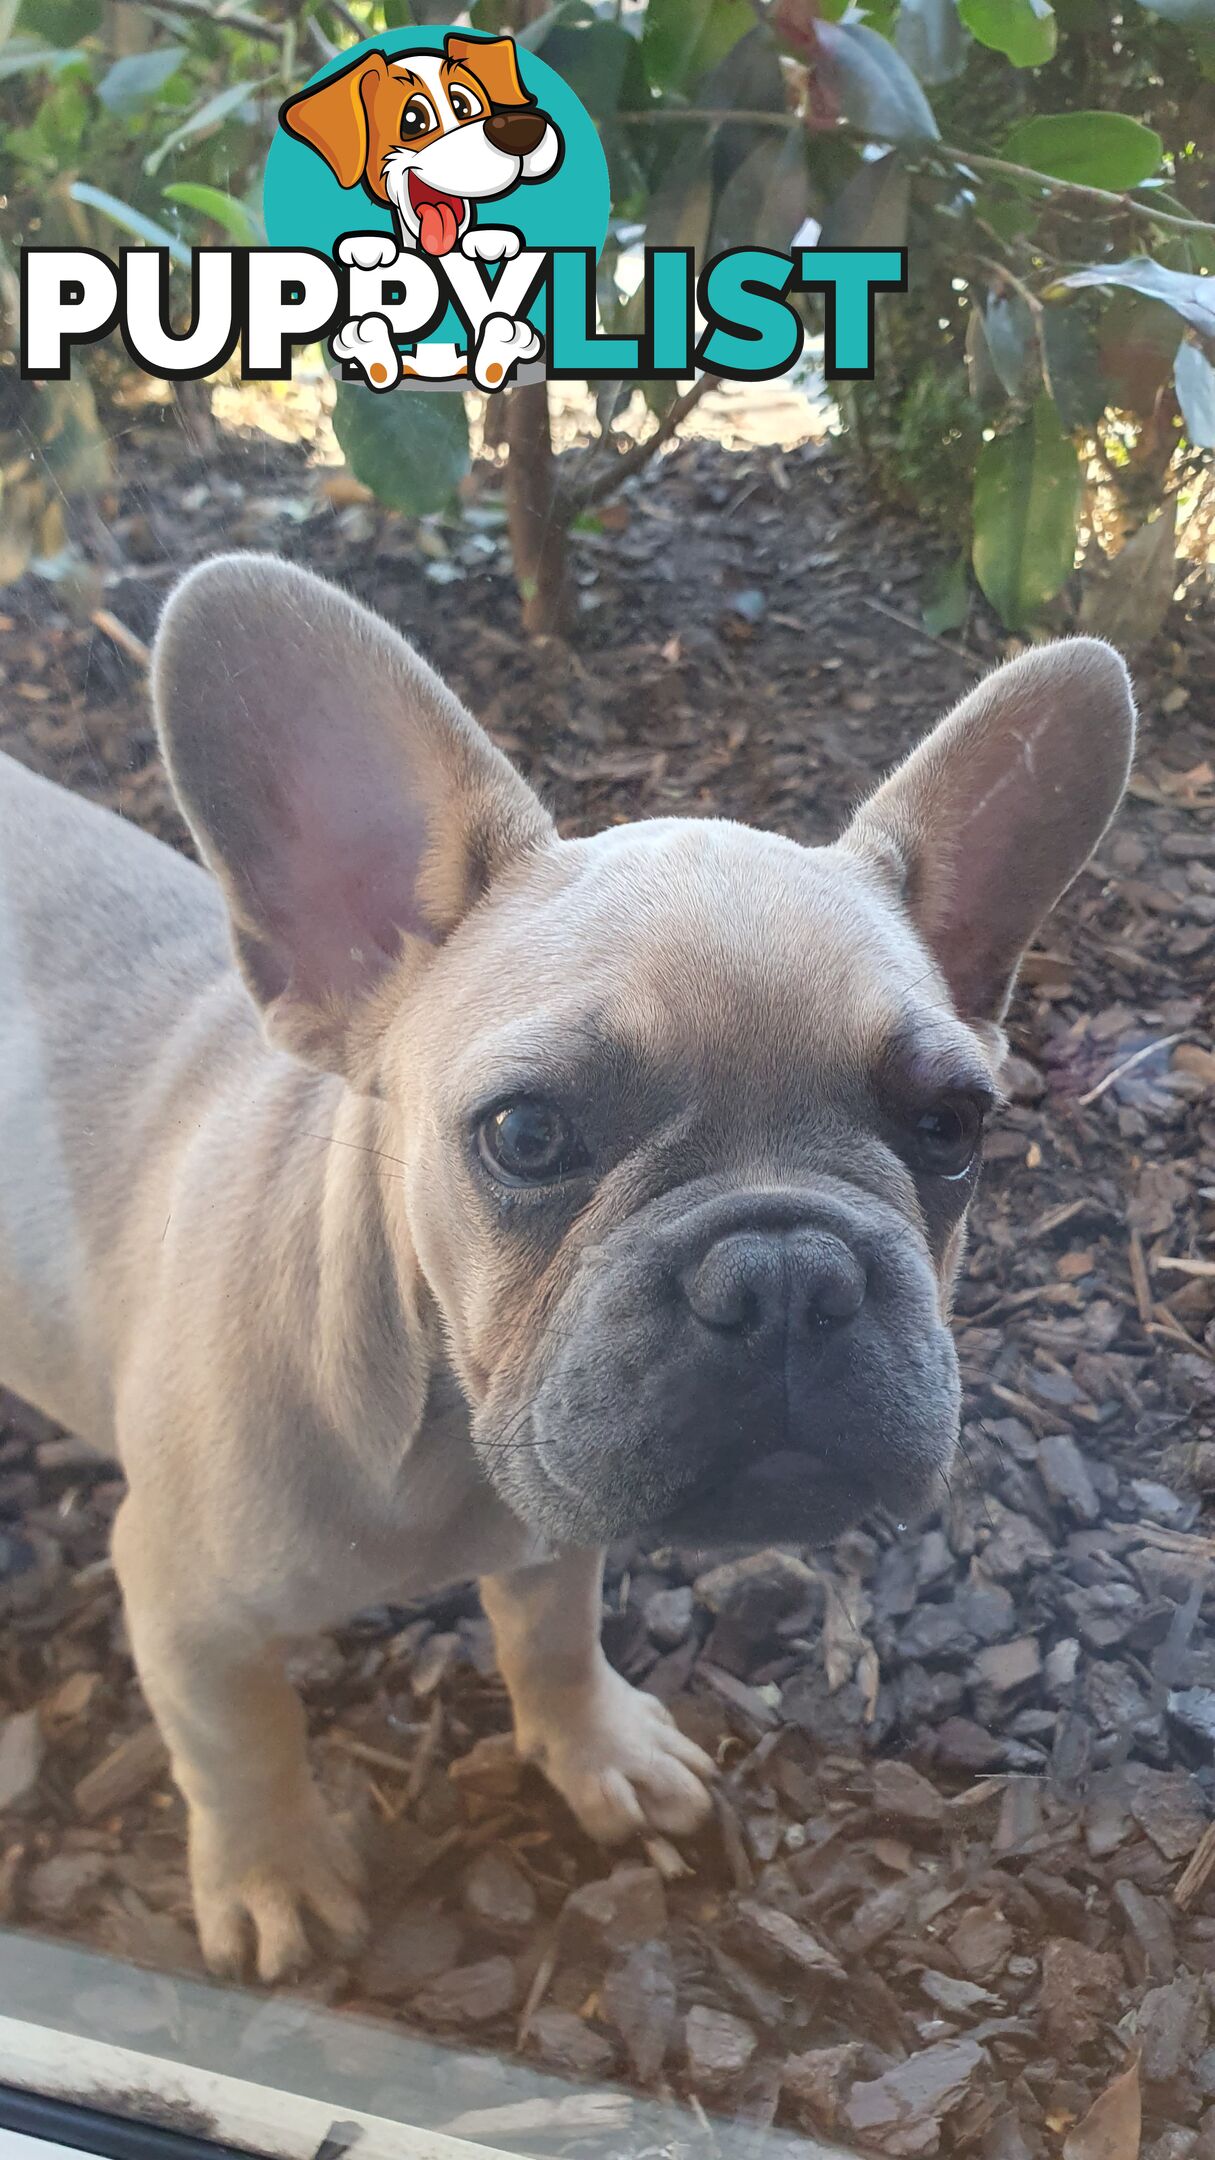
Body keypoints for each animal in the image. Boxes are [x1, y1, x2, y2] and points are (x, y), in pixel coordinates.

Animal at [0, 557, 1132, 1978]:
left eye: (952, 1129)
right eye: (527, 1135)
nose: (786, 1272)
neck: (438, 1427)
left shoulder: (558, 1519)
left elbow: (551, 1638)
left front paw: (595, 1752)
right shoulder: (183, 1605)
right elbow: (241, 1744)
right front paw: (271, 1876)